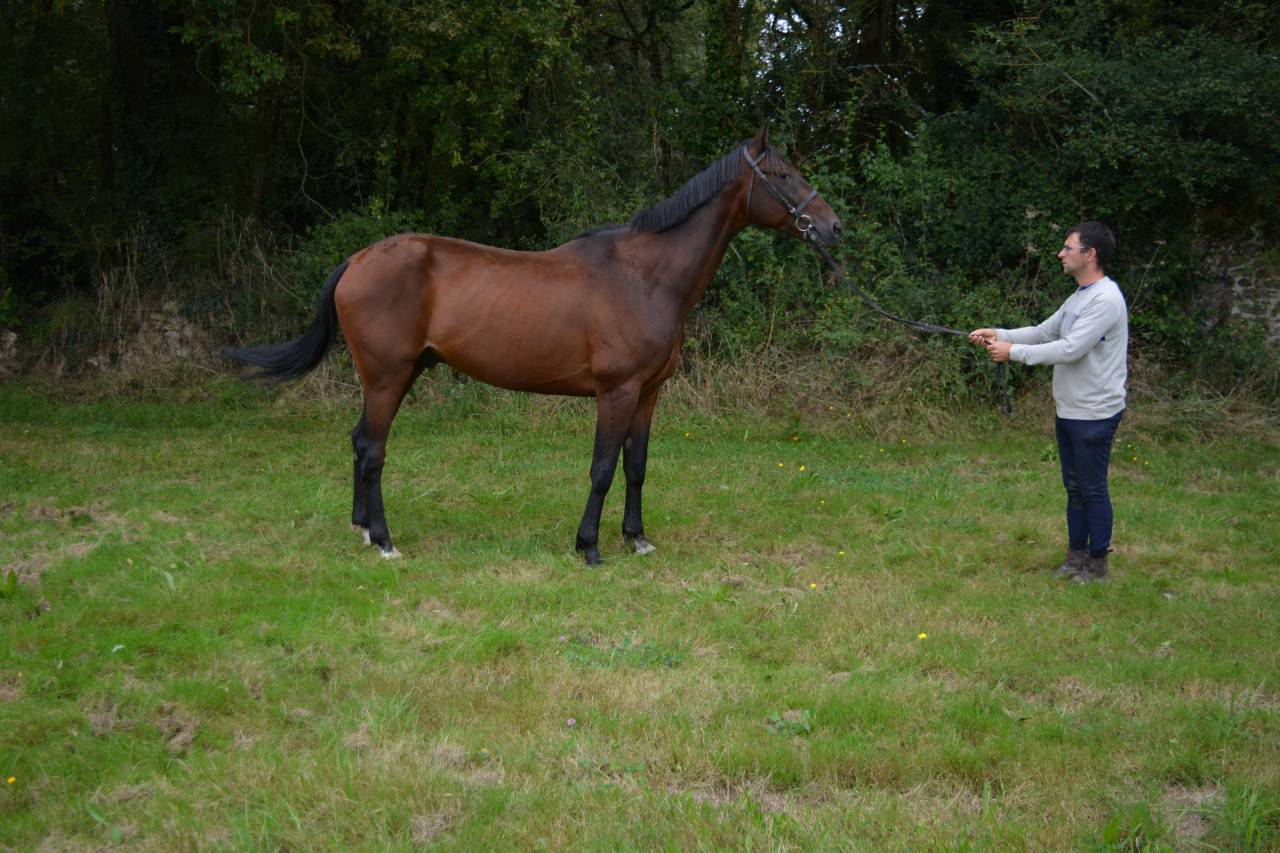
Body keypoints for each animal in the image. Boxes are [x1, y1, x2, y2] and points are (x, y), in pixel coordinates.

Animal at [223, 123, 842, 564]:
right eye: (783, 174)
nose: (833, 227)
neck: (645, 275)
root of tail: (357, 260)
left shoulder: (648, 394)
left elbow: (637, 466)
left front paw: (637, 539)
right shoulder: (616, 392)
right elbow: (602, 467)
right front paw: (589, 546)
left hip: (397, 374)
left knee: (358, 442)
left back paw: (362, 531)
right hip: (386, 376)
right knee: (373, 449)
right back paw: (385, 541)